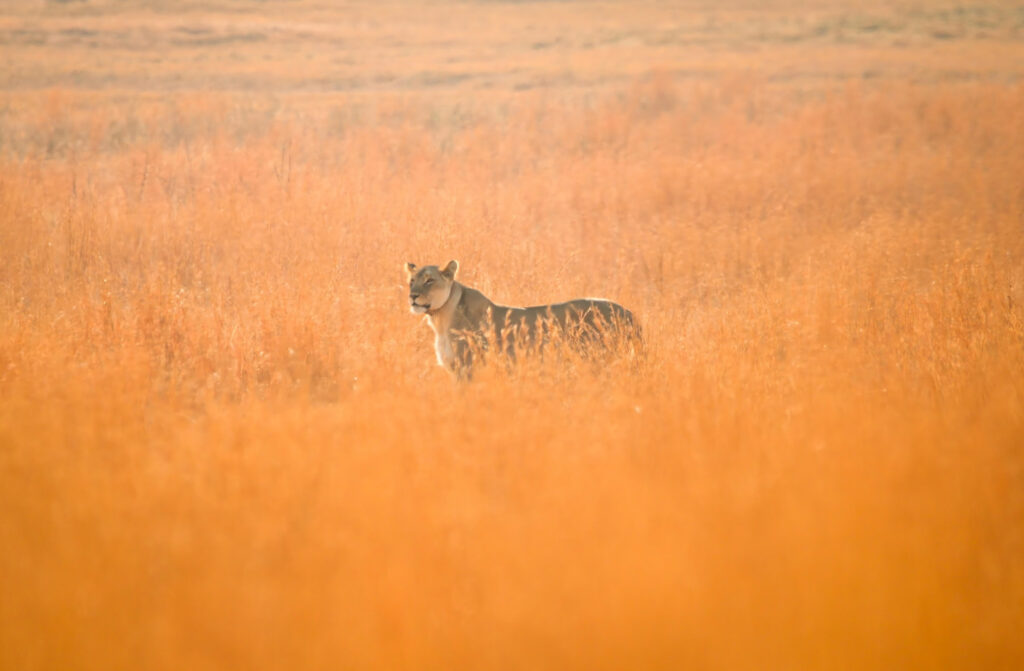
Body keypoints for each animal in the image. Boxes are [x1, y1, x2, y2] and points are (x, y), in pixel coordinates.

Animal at [405, 260, 641, 378]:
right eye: (411, 281)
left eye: (429, 281)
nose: (412, 296)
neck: (440, 318)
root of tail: (629, 313)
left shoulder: (469, 368)